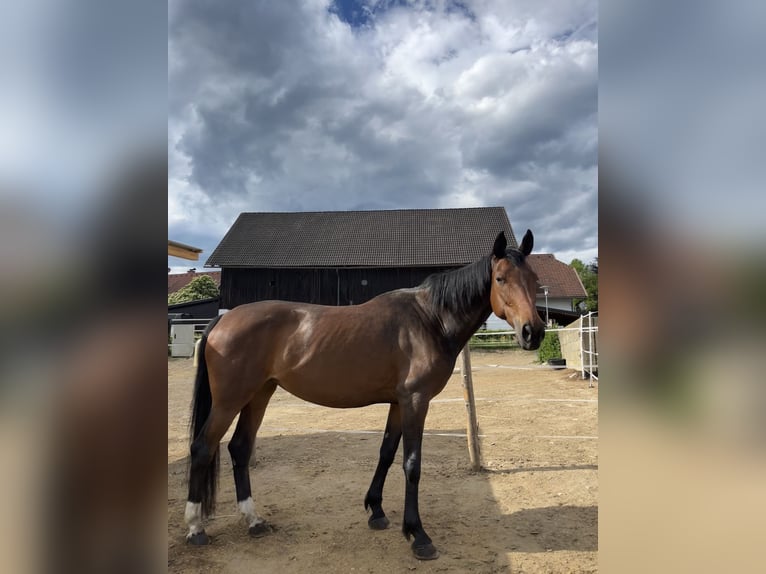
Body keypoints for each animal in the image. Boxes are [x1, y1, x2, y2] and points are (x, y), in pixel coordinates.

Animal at [184, 230, 545, 560]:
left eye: (534, 279)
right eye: (500, 278)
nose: (534, 332)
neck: (430, 320)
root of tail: (222, 320)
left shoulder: (399, 403)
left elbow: (386, 453)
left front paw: (377, 511)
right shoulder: (416, 401)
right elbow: (412, 464)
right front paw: (418, 535)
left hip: (259, 394)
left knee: (239, 448)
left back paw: (254, 520)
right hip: (229, 400)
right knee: (202, 447)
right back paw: (195, 527)